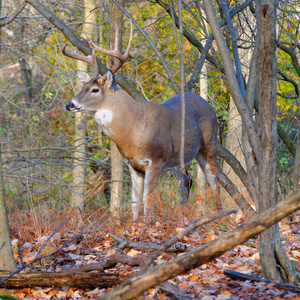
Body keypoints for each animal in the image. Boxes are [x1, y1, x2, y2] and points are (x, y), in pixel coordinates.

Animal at [61, 23, 220, 219]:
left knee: (213, 178)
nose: (69, 104)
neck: (133, 131)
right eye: (83, 87)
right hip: (177, 158)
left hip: (209, 145)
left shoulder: (155, 160)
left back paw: (219, 214)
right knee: (186, 180)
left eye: (95, 90)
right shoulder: (133, 165)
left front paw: (148, 224)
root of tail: (209, 106)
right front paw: (135, 224)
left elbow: (147, 198)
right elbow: (134, 200)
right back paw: (182, 216)